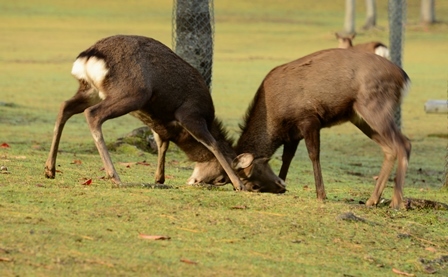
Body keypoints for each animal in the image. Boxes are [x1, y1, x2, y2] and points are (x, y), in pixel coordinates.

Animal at [43, 34, 286, 193]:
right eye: (257, 174)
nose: (281, 185)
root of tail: (89, 56)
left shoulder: (159, 124)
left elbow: (162, 144)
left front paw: (159, 178)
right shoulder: (190, 113)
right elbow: (213, 144)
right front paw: (238, 184)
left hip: (90, 89)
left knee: (64, 106)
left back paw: (49, 169)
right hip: (132, 92)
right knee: (92, 114)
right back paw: (115, 177)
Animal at [233, 48, 412, 207]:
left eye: (253, 185)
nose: (279, 187)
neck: (275, 120)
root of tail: (404, 78)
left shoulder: (309, 118)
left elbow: (313, 154)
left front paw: (321, 194)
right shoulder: (292, 135)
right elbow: (287, 157)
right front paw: (284, 180)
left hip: (374, 106)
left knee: (403, 143)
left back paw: (396, 202)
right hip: (359, 117)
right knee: (390, 148)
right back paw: (372, 200)